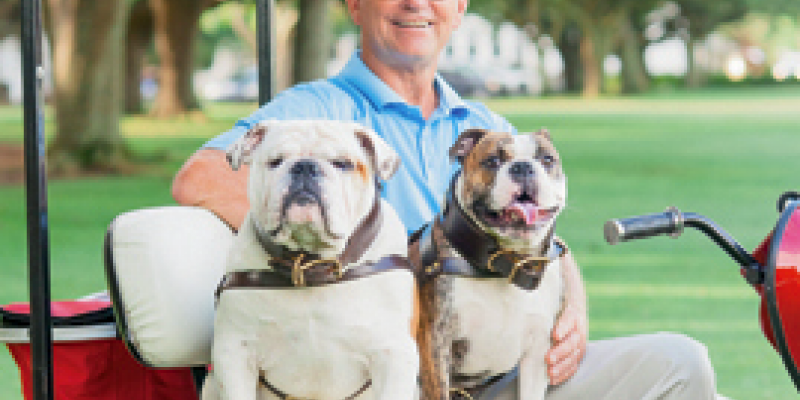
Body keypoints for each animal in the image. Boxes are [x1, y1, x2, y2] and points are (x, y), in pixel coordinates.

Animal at [203, 120, 419, 400]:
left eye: (342, 163)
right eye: (276, 161)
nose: (305, 166)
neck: (309, 263)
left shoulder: (394, 355)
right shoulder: (235, 352)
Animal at [412, 128, 567, 400]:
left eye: (547, 159)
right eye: (492, 161)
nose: (523, 167)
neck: (506, 264)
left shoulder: (538, 354)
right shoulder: (435, 345)